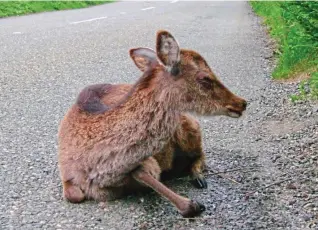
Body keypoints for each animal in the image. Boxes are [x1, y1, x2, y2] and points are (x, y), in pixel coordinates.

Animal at [58, 29, 247, 217]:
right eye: (205, 79)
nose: (242, 102)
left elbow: (144, 172)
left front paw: (193, 204)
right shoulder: (67, 175)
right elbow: (74, 195)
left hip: (188, 125)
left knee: (200, 153)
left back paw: (198, 177)